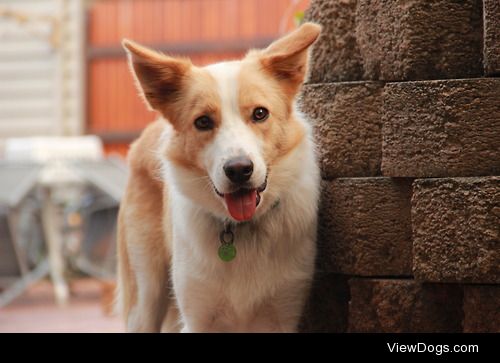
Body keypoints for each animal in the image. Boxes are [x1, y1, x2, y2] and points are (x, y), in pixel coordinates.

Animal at [116, 22, 320, 334]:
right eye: (203, 122)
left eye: (260, 113)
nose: (239, 170)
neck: (241, 229)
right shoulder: (197, 319)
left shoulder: (284, 315)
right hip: (145, 297)